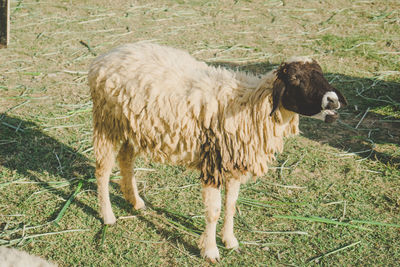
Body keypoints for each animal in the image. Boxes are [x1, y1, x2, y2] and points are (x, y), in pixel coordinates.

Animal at [87, 42, 346, 264]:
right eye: (295, 79)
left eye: (321, 74)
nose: (333, 101)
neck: (250, 104)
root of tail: (107, 55)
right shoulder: (213, 162)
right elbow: (213, 211)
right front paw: (210, 250)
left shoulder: (234, 163)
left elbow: (231, 205)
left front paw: (230, 240)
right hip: (106, 123)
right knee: (103, 170)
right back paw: (108, 216)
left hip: (131, 126)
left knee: (126, 159)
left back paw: (135, 200)